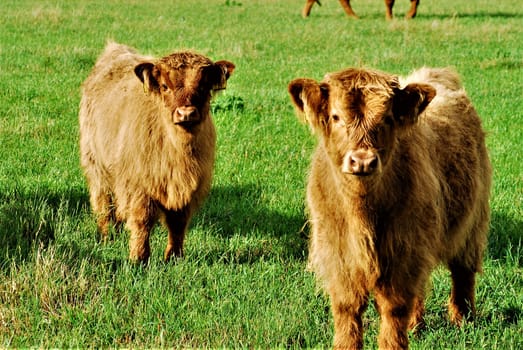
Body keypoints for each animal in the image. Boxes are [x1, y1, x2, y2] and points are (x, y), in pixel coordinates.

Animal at [80, 42, 235, 262]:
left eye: (203, 86)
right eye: (165, 86)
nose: (186, 113)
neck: (178, 153)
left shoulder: (186, 189)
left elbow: (178, 222)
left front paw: (174, 257)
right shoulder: (138, 186)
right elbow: (142, 221)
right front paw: (139, 258)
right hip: (95, 164)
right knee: (102, 203)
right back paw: (106, 237)